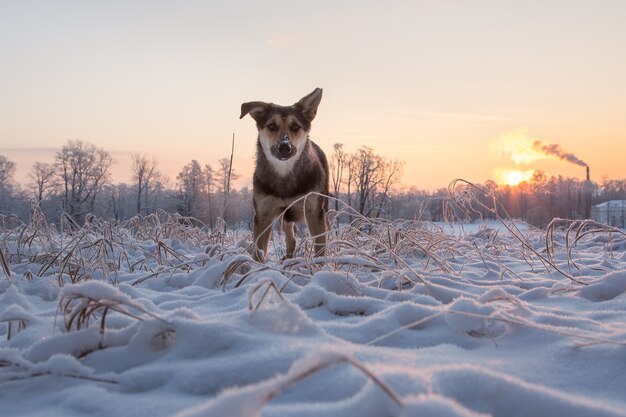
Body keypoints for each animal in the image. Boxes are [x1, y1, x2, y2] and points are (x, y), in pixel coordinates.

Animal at [239, 88, 330, 262]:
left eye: (295, 126)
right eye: (271, 126)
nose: (284, 147)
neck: (284, 174)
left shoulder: (314, 212)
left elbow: (320, 247)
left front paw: (320, 265)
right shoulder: (263, 214)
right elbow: (259, 249)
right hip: (285, 217)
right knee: (291, 239)